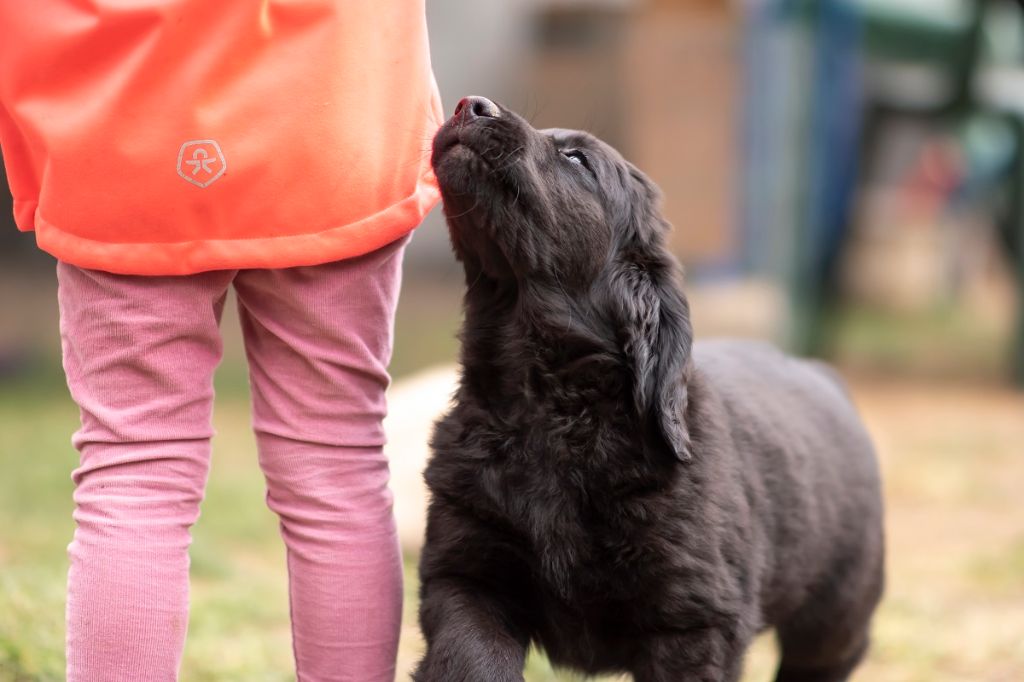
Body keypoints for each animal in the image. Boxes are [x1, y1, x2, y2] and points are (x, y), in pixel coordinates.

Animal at [411, 96, 884, 679]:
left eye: (576, 159)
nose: (468, 105)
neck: (548, 407)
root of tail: (820, 373)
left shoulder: (694, 622)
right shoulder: (467, 573)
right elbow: (472, 658)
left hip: (836, 613)